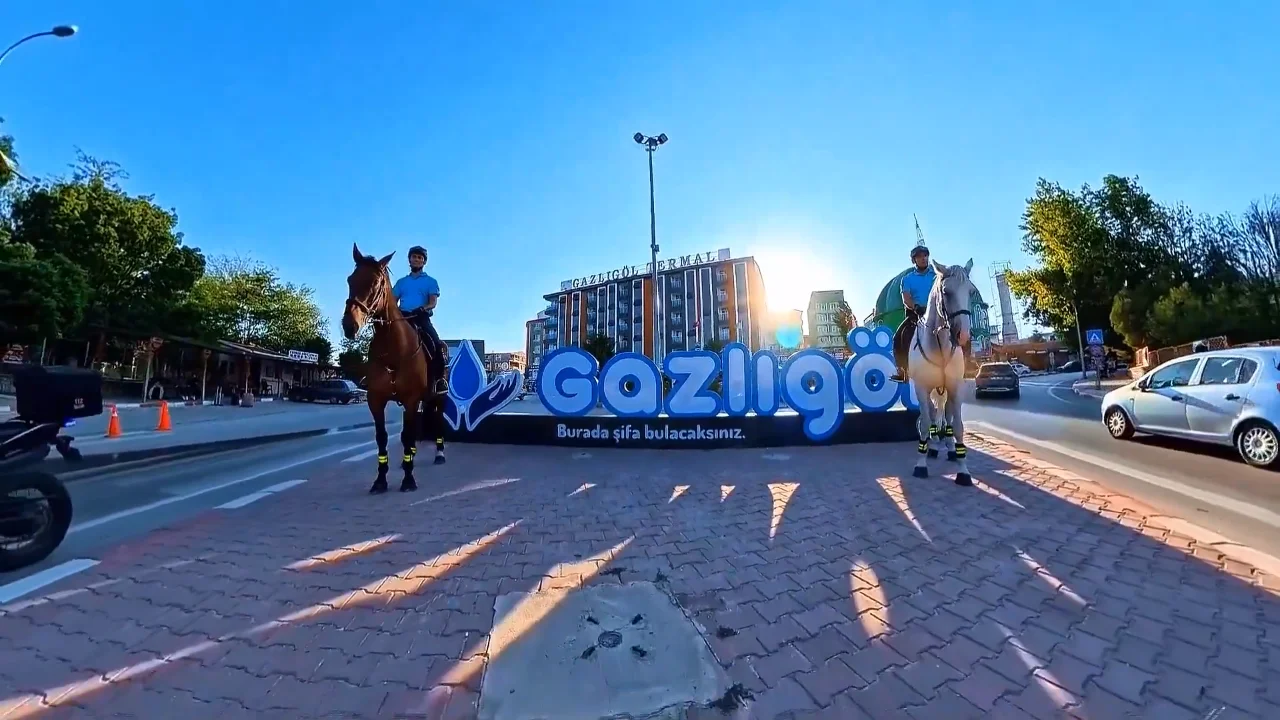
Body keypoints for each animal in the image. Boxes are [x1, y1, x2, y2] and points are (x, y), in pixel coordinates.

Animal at [341, 244, 435, 494]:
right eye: (350, 279)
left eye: (375, 283)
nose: (349, 325)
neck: (394, 347)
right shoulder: (376, 399)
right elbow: (382, 437)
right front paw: (380, 479)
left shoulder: (411, 399)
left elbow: (408, 435)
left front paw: (408, 479)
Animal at [907, 260, 975, 486]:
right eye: (946, 291)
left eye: (971, 291)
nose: (963, 335)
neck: (940, 346)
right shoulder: (921, 388)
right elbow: (926, 422)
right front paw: (921, 464)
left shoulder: (955, 388)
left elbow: (958, 425)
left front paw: (963, 471)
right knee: (933, 413)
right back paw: (935, 446)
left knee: (945, 414)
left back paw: (950, 448)